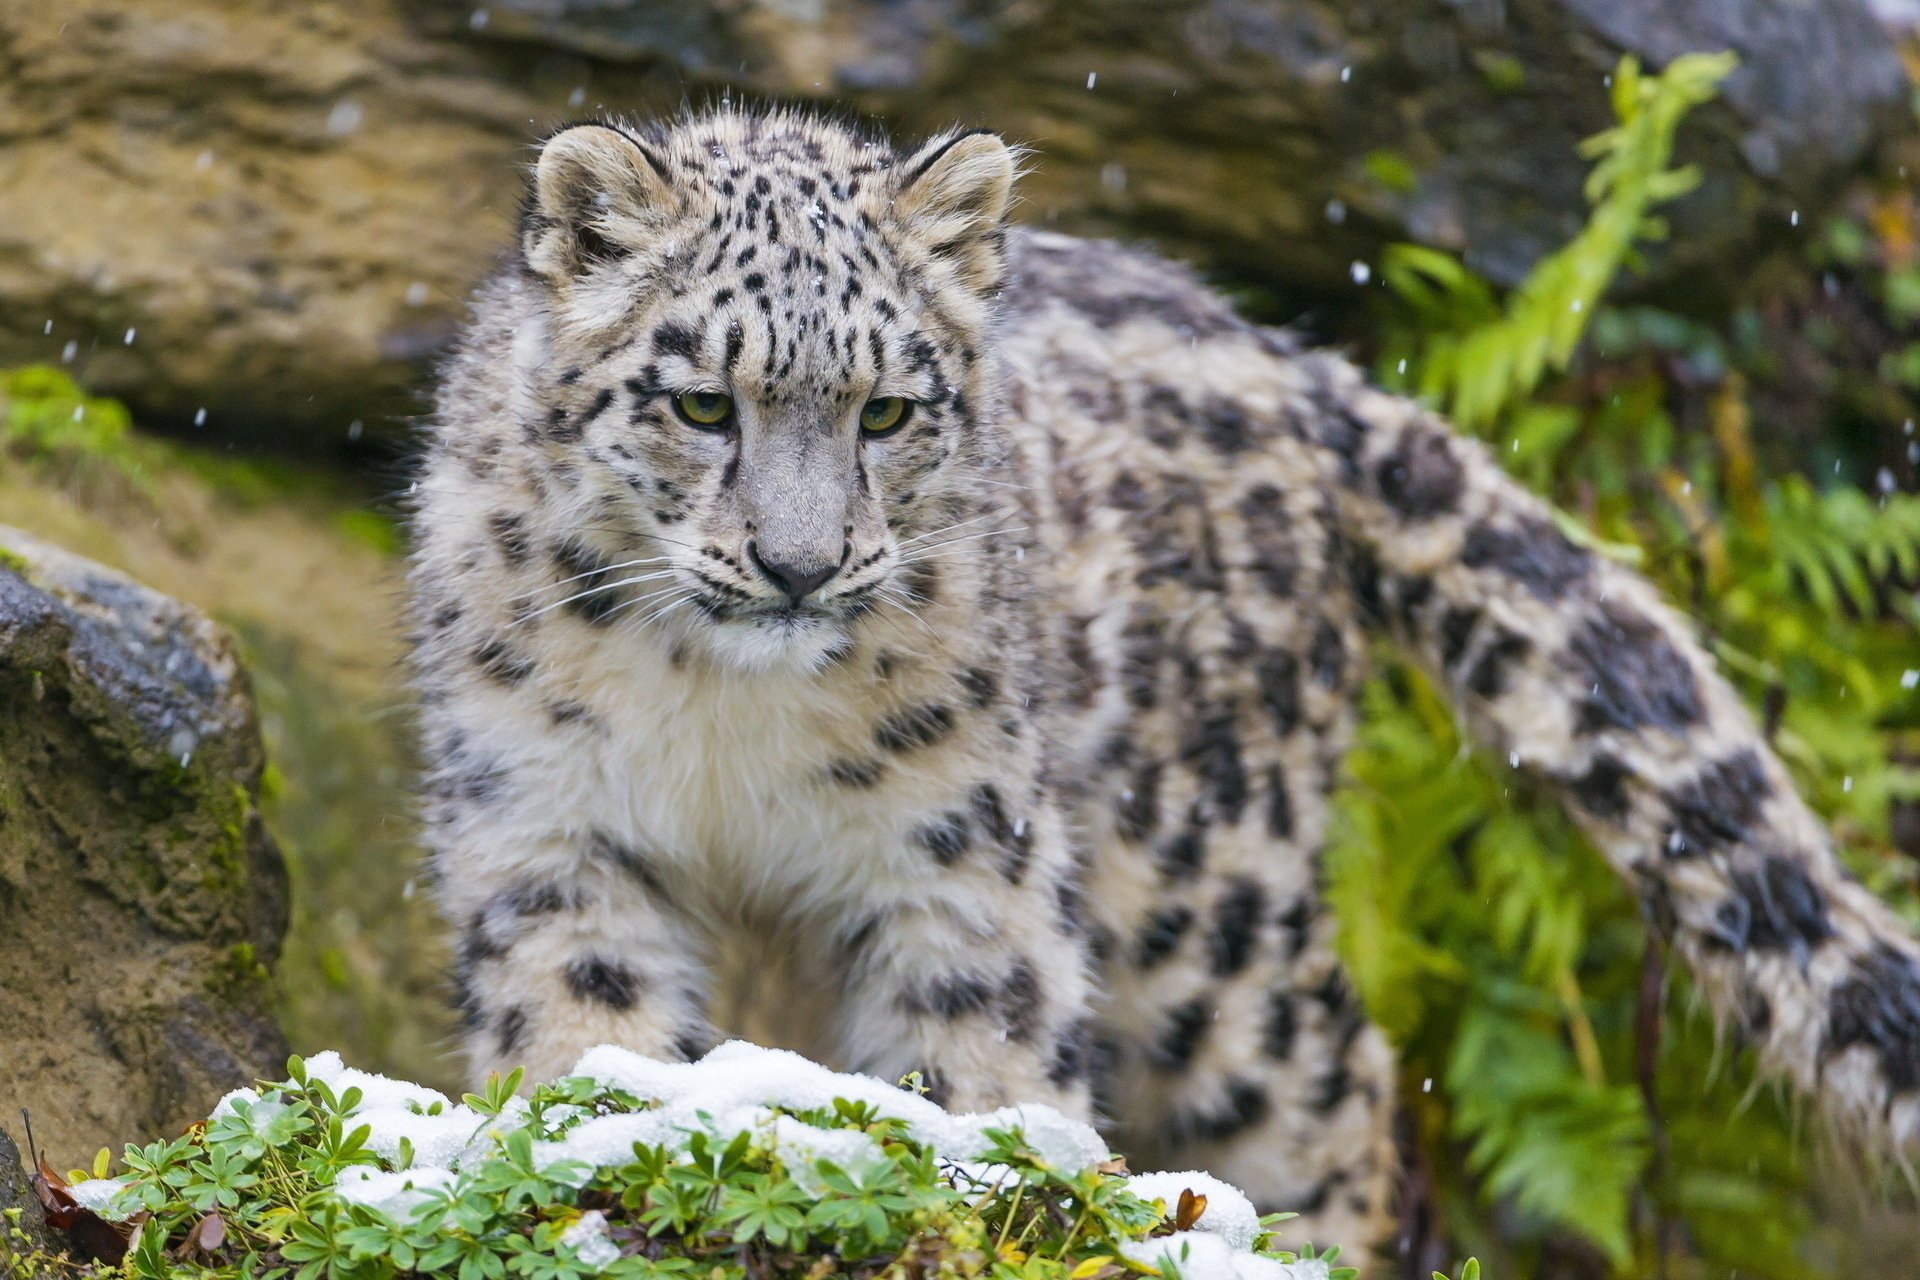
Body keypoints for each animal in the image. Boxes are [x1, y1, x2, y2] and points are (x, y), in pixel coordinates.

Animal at [408, 105, 1920, 1262]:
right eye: (701, 403)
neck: (729, 719)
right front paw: (598, 1155)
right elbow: (582, 1023)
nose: (798, 564)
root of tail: (1294, 362)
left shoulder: (957, 853)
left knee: (1342, 1092)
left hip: (1211, 904)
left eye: (887, 409)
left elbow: (981, 1056)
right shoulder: (551, 826)